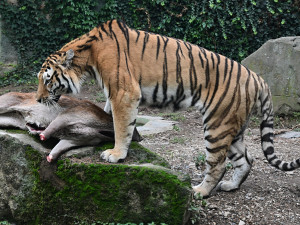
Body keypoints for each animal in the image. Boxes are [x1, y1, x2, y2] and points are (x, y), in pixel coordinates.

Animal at [35, 19, 300, 196]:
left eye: (47, 80)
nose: (37, 99)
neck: (88, 57)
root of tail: (259, 79)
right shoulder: (114, 93)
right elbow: (110, 117)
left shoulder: (124, 92)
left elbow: (122, 125)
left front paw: (116, 154)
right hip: (233, 126)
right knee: (246, 159)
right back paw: (231, 186)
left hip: (218, 124)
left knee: (218, 163)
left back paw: (200, 191)